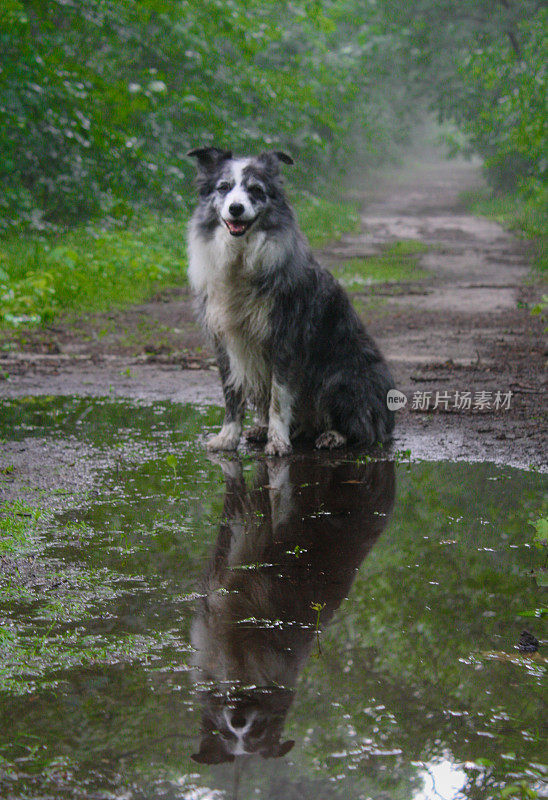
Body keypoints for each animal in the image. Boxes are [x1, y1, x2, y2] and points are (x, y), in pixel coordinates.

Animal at [187, 145, 394, 456]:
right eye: (223, 188)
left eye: (256, 190)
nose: (236, 208)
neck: (241, 258)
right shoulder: (224, 340)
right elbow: (232, 394)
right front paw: (228, 436)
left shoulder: (285, 339)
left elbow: (279, 397)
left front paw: (278, 440)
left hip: (341, 377)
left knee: (363, 427)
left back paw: (333, 435)